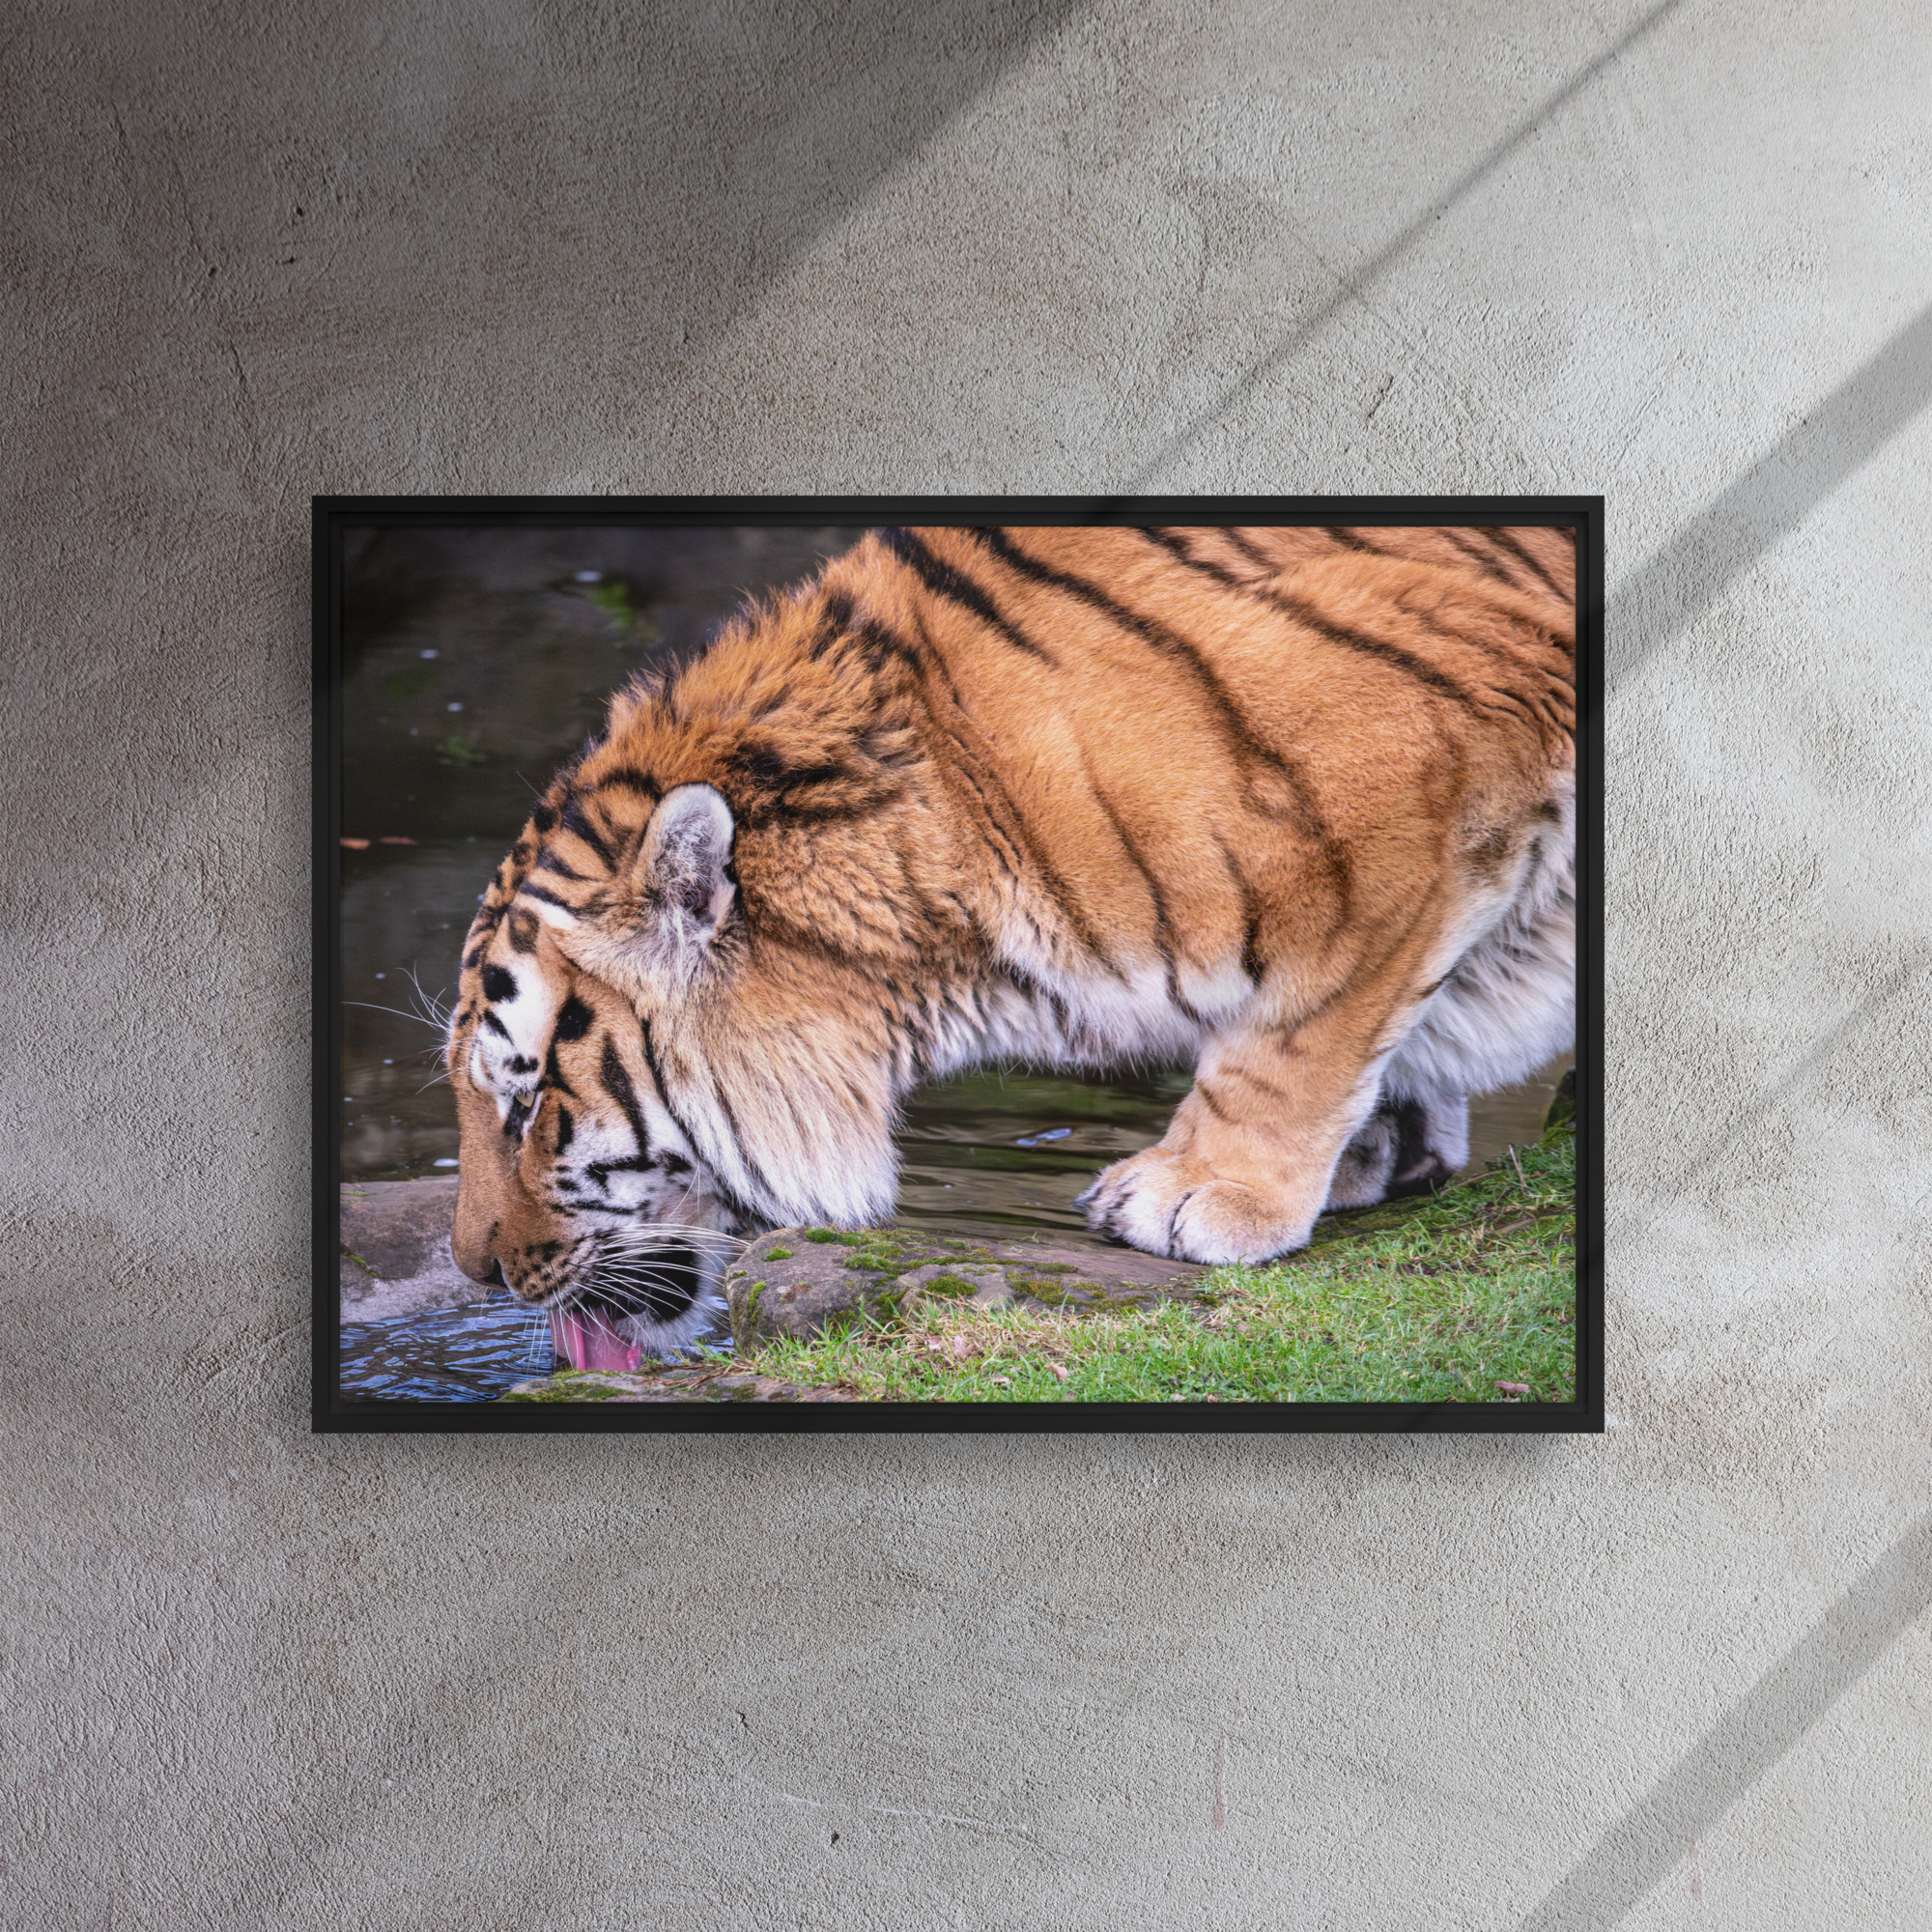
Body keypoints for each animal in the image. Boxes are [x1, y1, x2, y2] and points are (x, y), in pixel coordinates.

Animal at [445, 524, 1577, 1360]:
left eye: (526, 1104)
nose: (473, 1271)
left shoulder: (1412, 766)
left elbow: (1303, 1019)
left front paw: (1202, 1191)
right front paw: (1382, 1144)